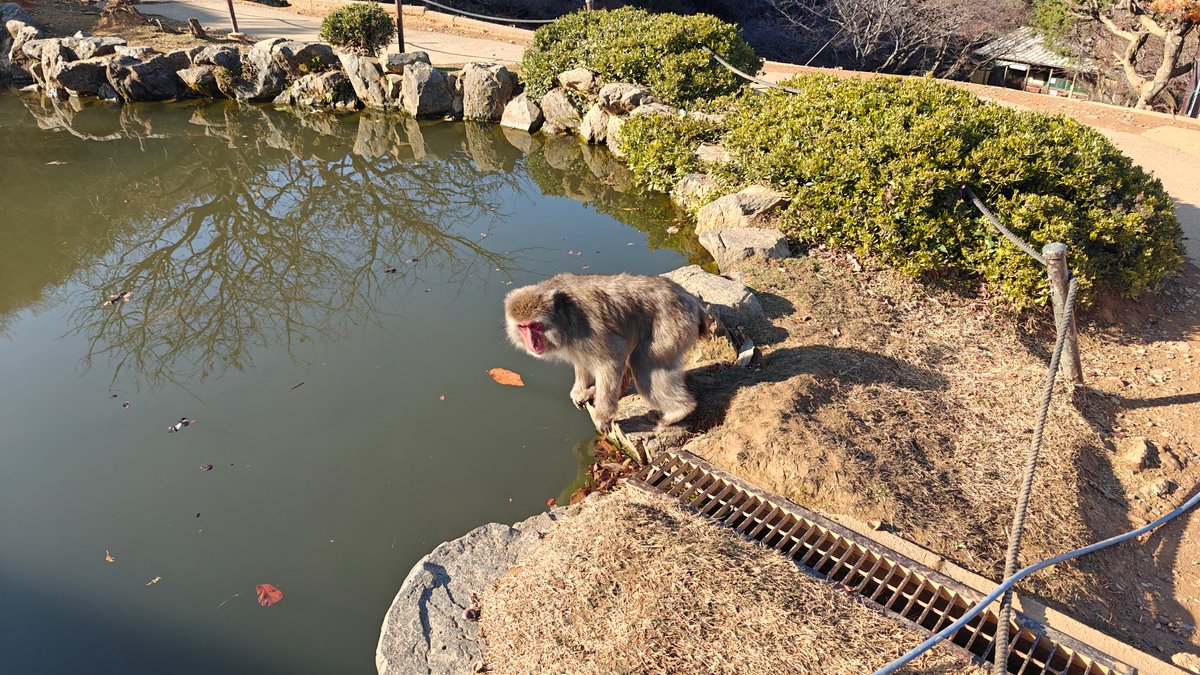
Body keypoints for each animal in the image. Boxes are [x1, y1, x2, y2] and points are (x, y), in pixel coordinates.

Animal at [504, 273, 712, 434]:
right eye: (522, 327)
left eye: (535, 326)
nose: (531, 343)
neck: (564, 315)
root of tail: (690, 298)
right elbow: (582, 360)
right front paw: (579, 390)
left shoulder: (587, 329)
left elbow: (612, 359)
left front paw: (602, 417)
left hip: (671, 325)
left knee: (644, 363)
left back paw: (678, 412)